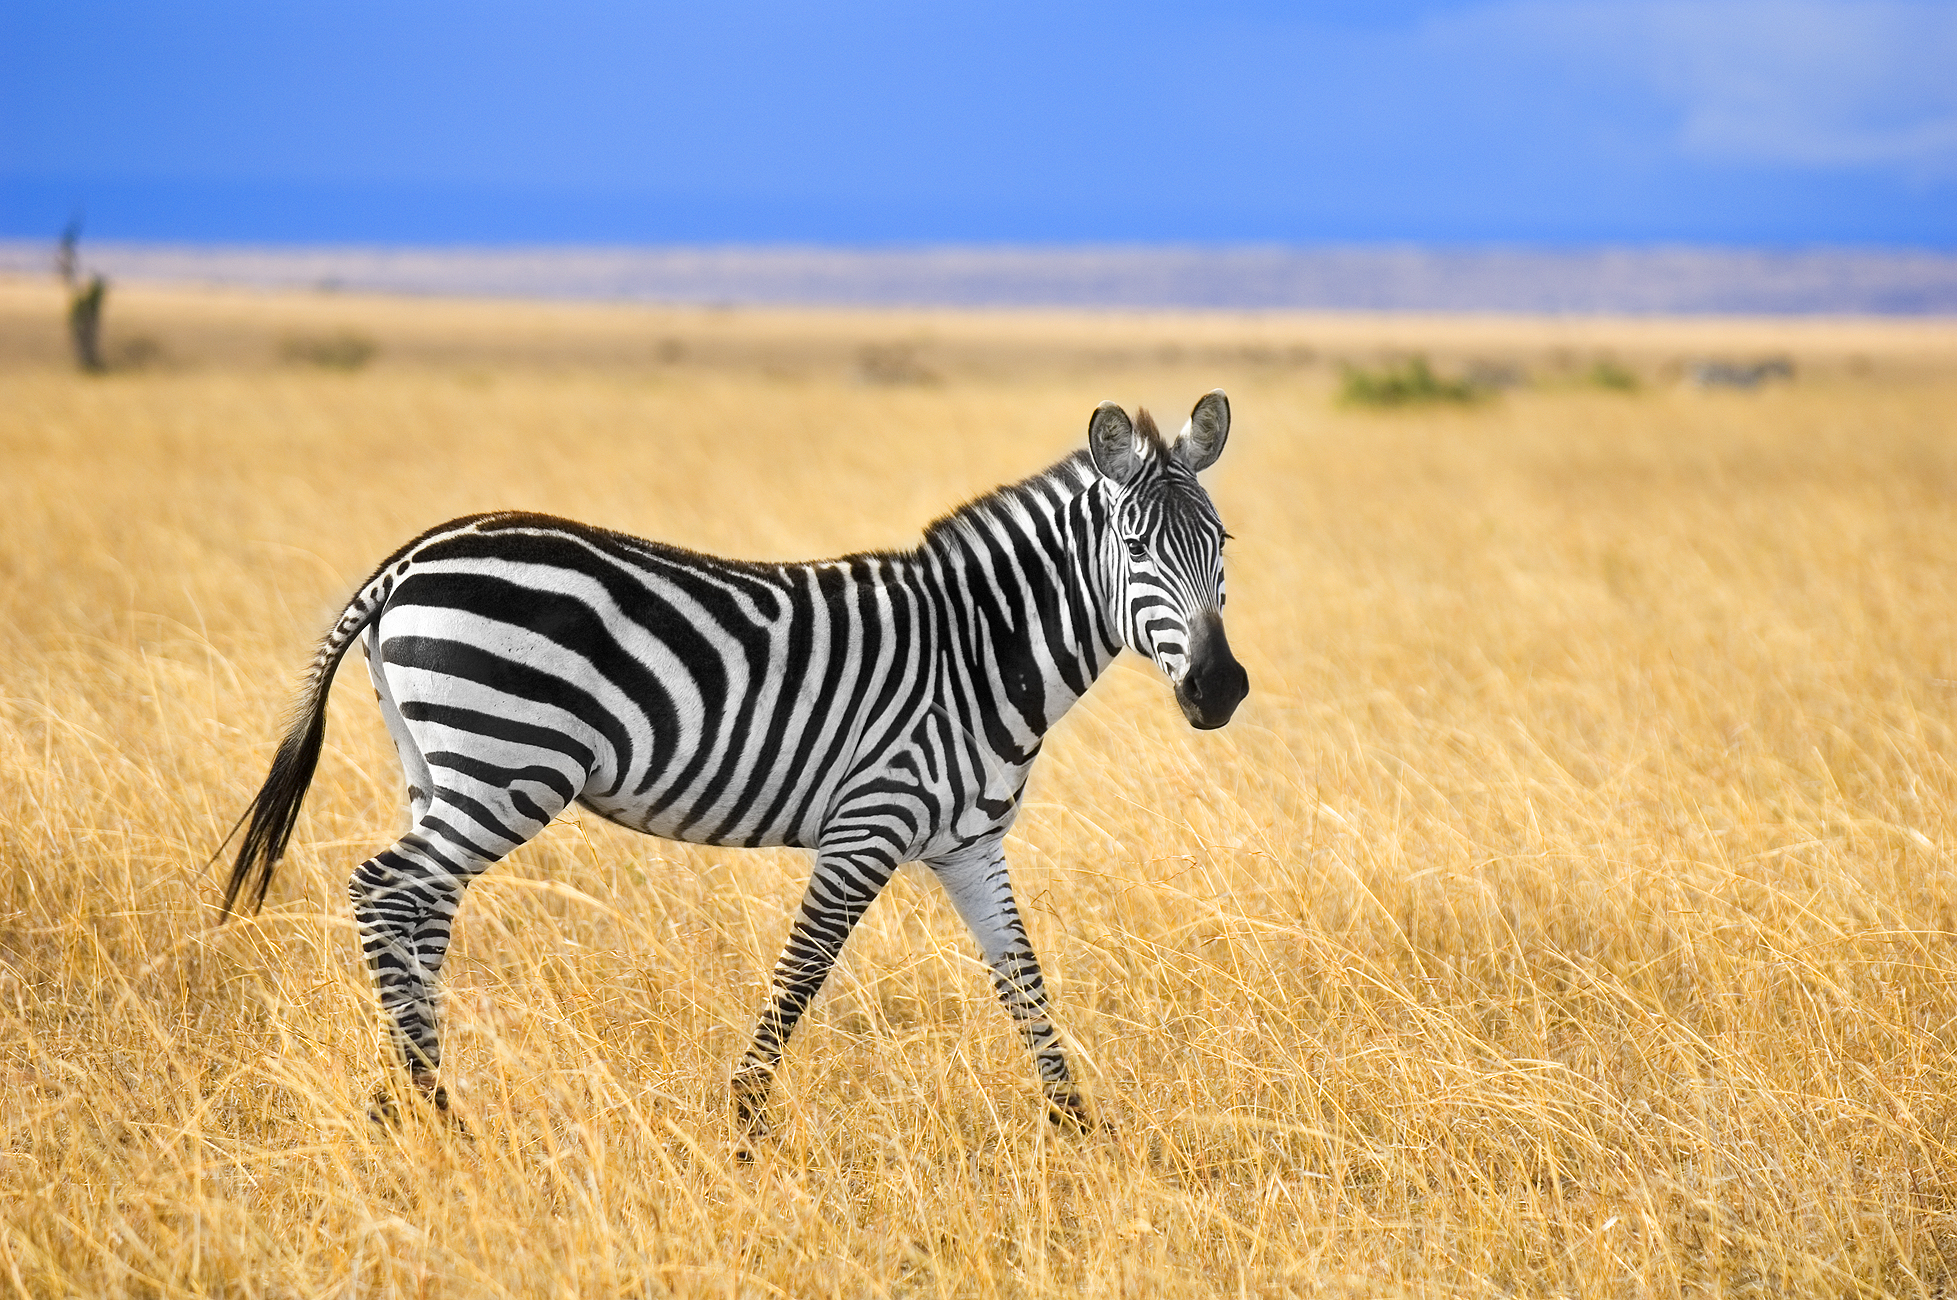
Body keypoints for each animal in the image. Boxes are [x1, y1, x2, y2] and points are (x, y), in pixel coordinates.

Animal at [219, 390, 1248, 1134]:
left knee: (420, 907)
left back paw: (405, 1106)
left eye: (1221, 544)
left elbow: (1023, 981)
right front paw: (744, 1127)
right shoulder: (868, 824)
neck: (978, 651)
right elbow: (802, 972)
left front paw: (1077, 1131)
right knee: (386, 889)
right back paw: (431, 1108)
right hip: (508, 765)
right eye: (1135, 547)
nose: (1220, 690)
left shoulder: (967, 844)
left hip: (438, 765)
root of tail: (409, 559)